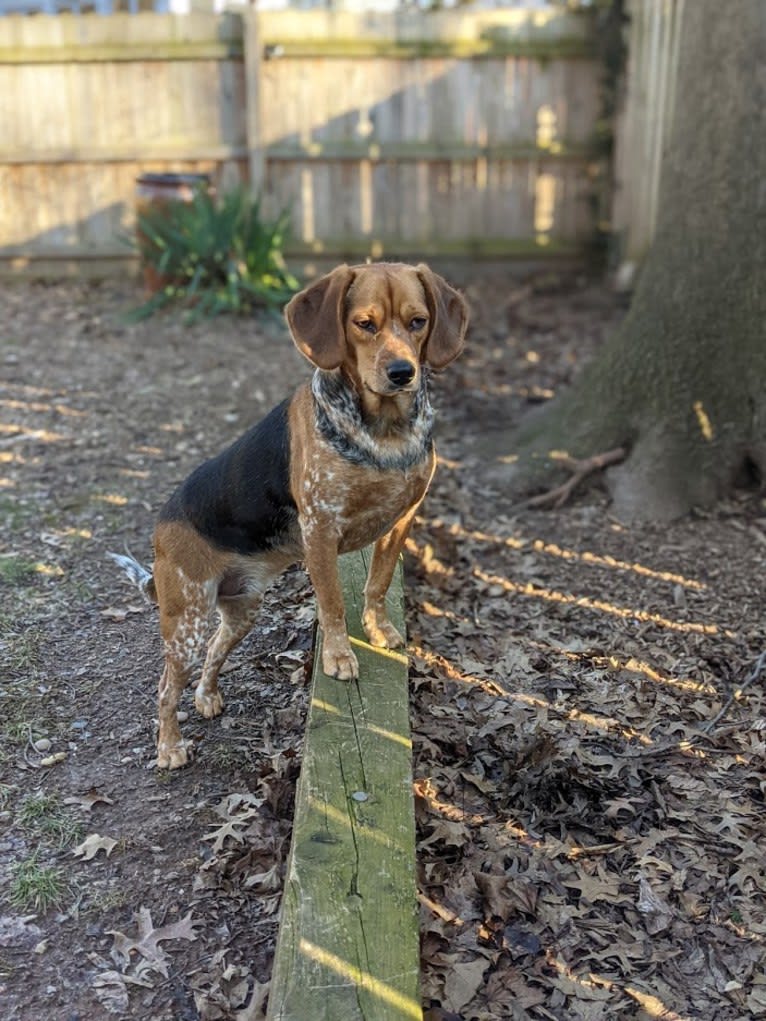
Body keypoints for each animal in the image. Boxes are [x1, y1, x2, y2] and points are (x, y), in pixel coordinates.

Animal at [108, 263, 467, 767]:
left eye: (418, 322)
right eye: (364, 324)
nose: (402, 373)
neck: (386, 430)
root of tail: (160, 529)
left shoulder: (401, 521)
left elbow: (377, 585)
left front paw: (379, 630)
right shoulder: (320, 529)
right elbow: (332, 603)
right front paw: (339, 657)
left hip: (241, 612)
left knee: (214, 653)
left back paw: (206, 697)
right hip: (186, 623)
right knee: (164, 688)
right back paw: (170, 747)